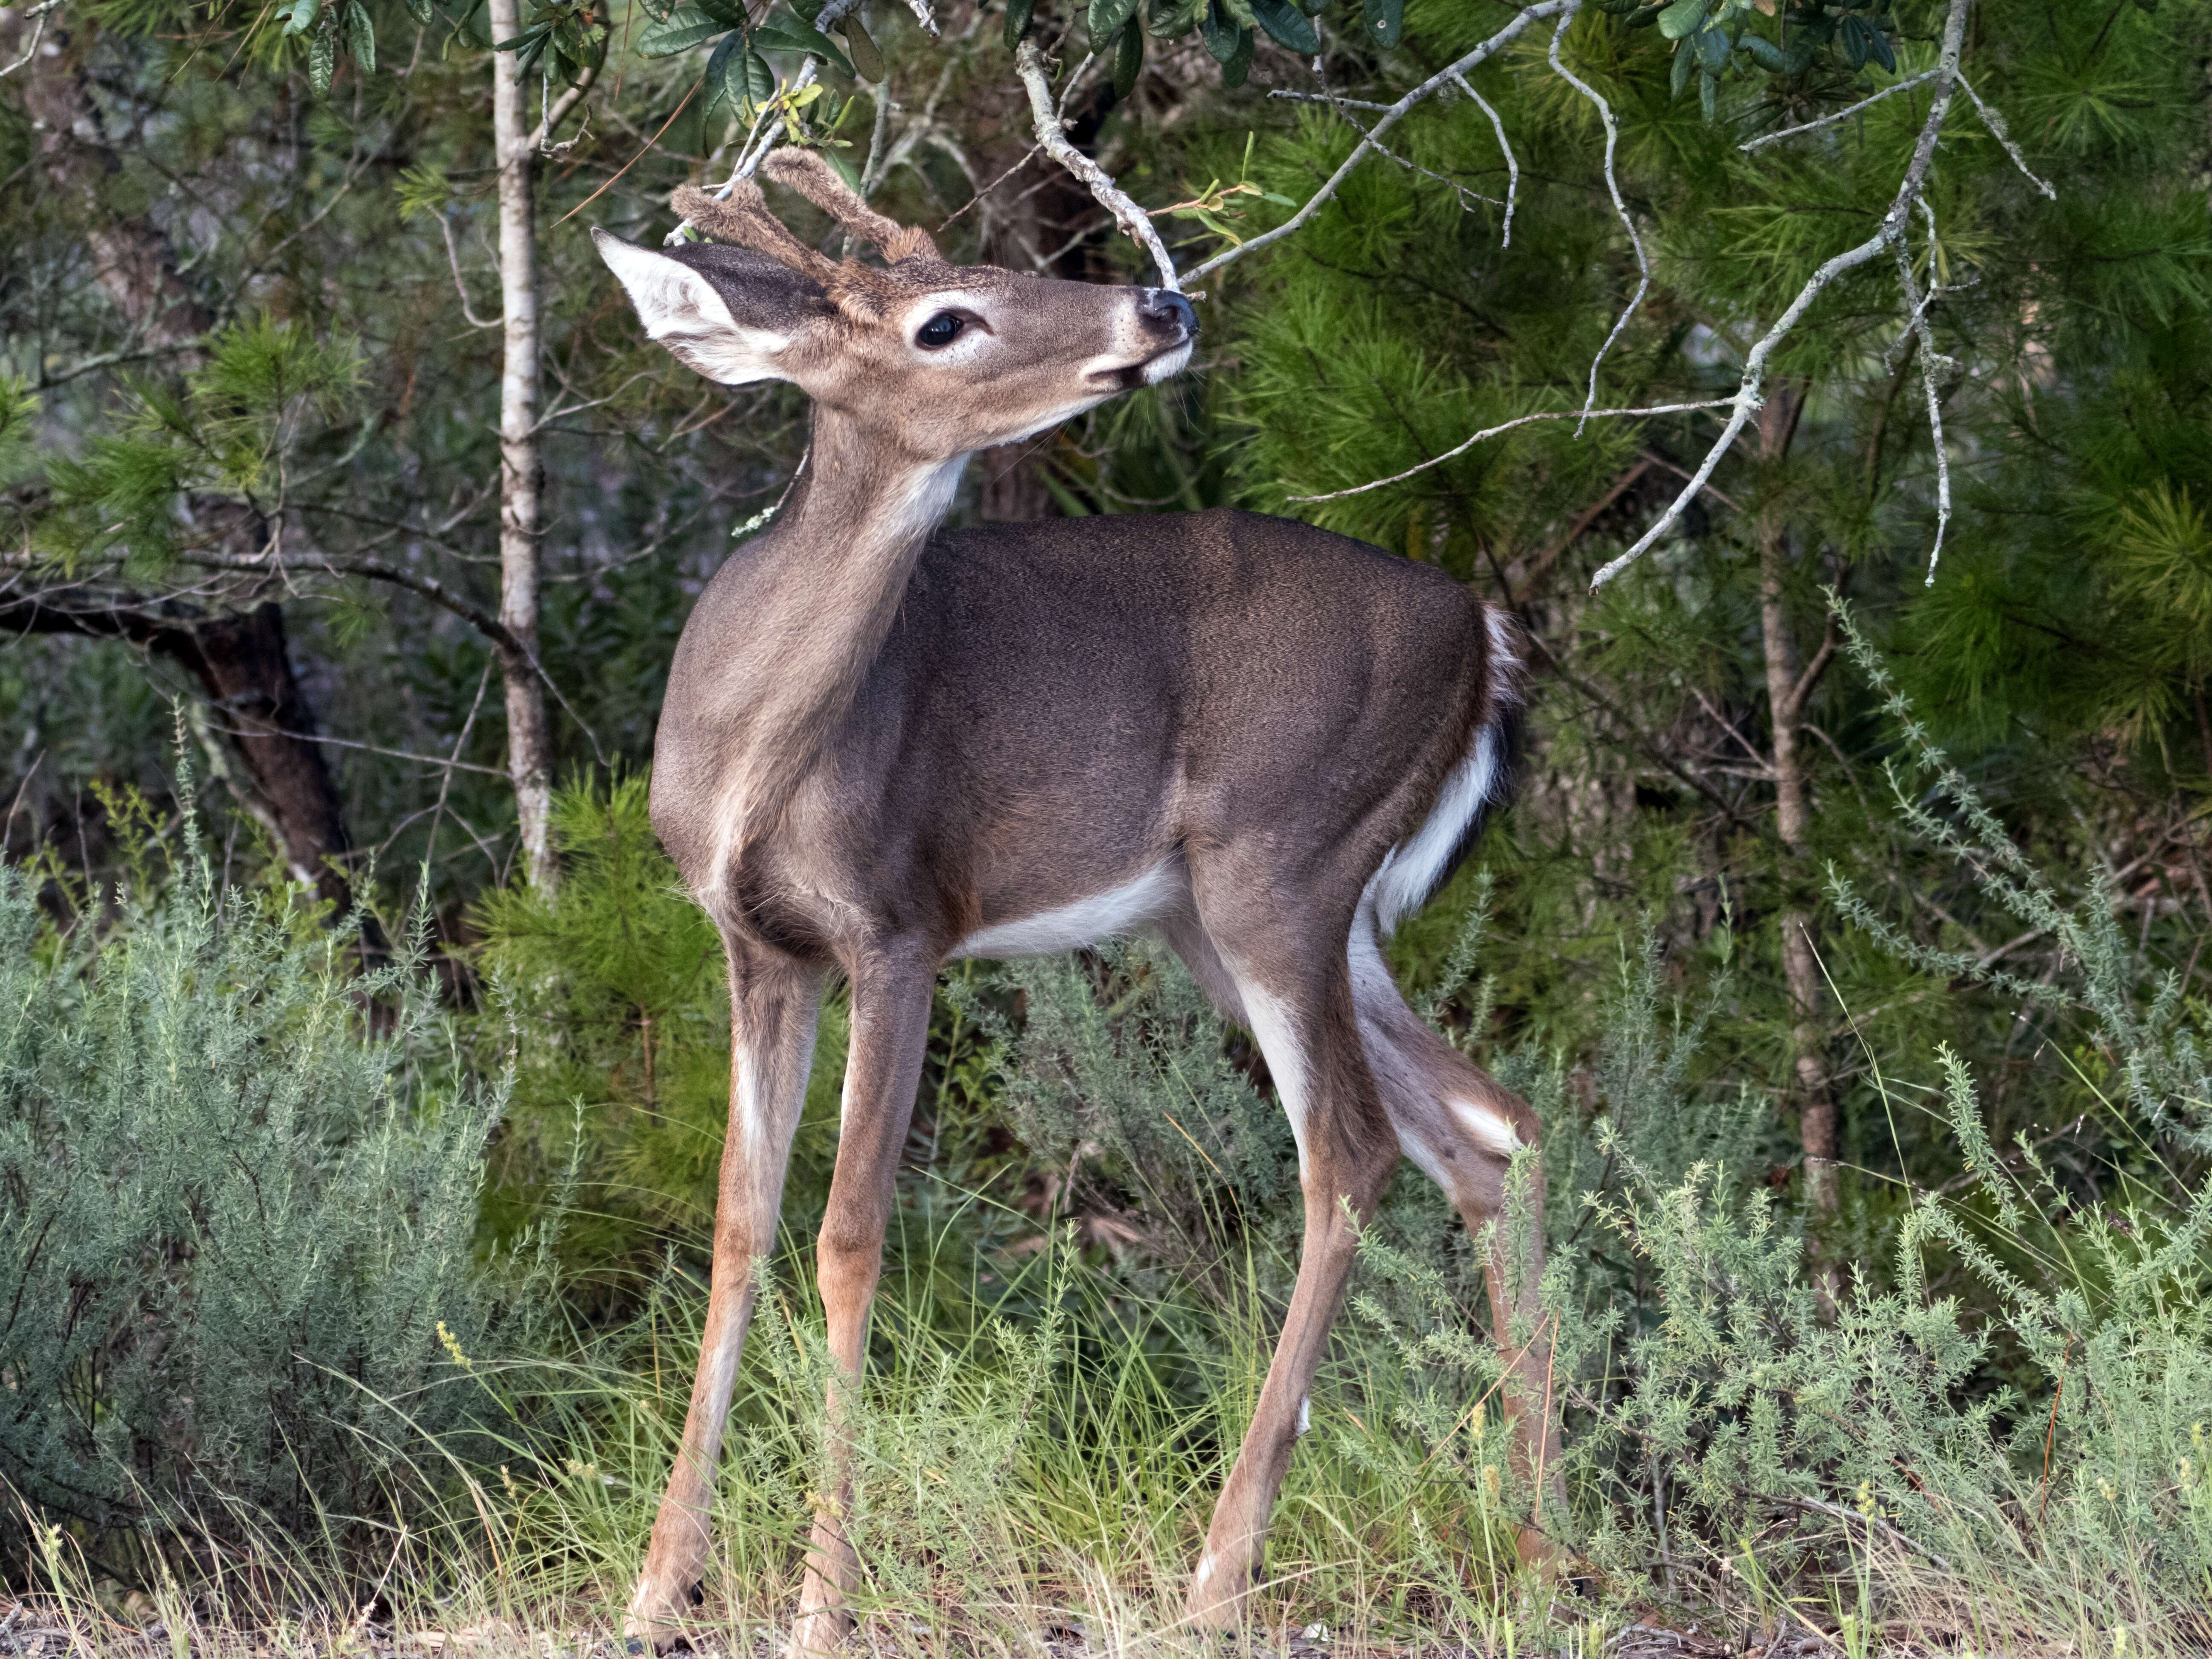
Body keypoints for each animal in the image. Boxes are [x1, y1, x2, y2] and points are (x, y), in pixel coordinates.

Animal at [588, 149, 1557, 1654]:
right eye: (945, 319)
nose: (1159, 305)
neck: (752, 752)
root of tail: (1487, 632)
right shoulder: (757, 948)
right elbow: (740, 1226)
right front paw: (655, 1589)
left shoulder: (903, 922)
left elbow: (849, 1232)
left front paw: (821, 1601)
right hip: (1250, 914)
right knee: (1489, 1132)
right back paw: (1548, 1551)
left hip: (1281, 863)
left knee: (1352, 1154)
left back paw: (1220, 1574)